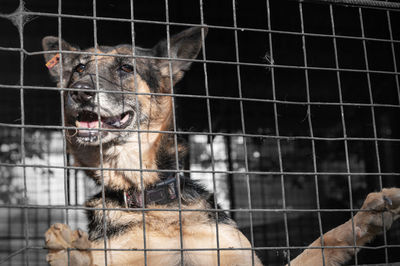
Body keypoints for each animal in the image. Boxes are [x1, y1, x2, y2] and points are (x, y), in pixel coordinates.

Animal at [43, 27, 400, 266]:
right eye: (79, 68)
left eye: (125, 68)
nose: (78, 91)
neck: (153, 202)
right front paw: (70, 252)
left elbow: (321, 243)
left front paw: (367, 217)